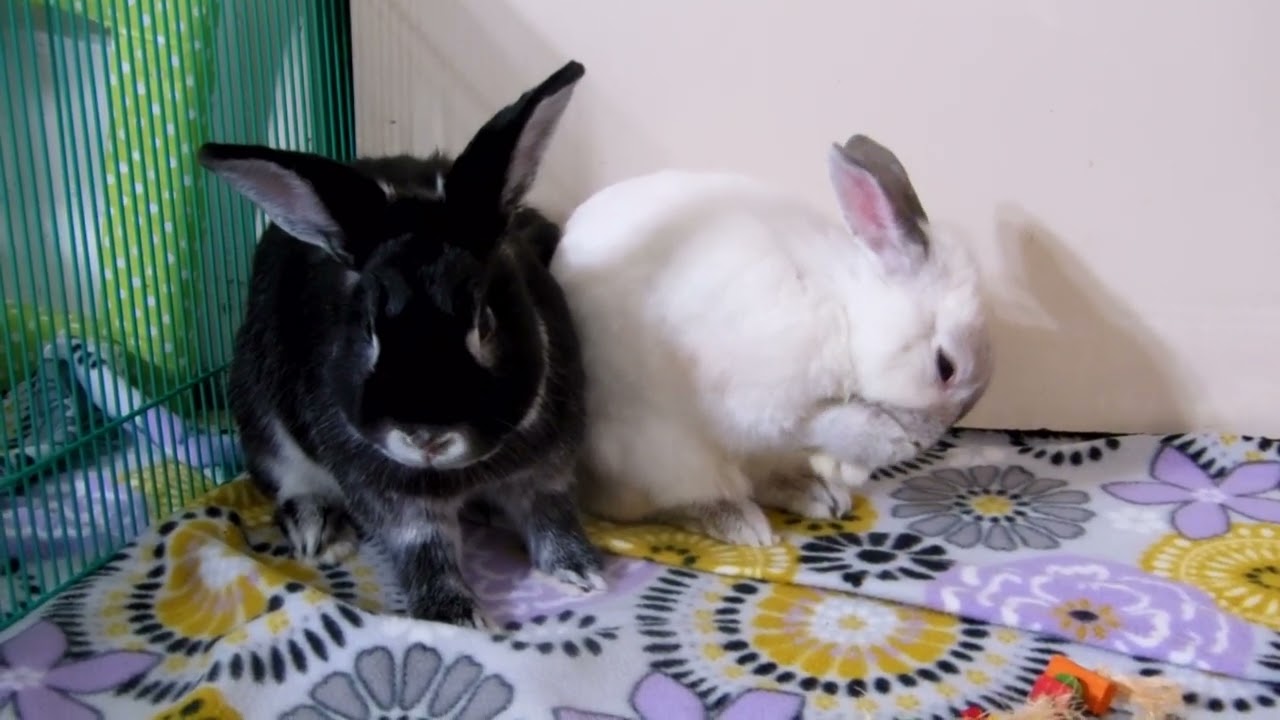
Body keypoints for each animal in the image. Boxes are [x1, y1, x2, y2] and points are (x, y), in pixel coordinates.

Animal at [197, 60, 605, 627]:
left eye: (484, 321)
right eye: (369, 330)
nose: (425, 437)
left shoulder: (548, 470)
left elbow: (551, 515)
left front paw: (579, 568)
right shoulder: (392, 499)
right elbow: (423, 547)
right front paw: (454, 614)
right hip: (258, 412)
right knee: (285, 477)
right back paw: (318, 529)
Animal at [549, 134, 993, 546]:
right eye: (945, 367)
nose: (924, 441)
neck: (844, 314)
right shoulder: (764, 405)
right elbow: (819, 423)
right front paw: (885, 441)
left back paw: (818, 494)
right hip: (661, 452)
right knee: (659, 503)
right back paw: (739, 523)